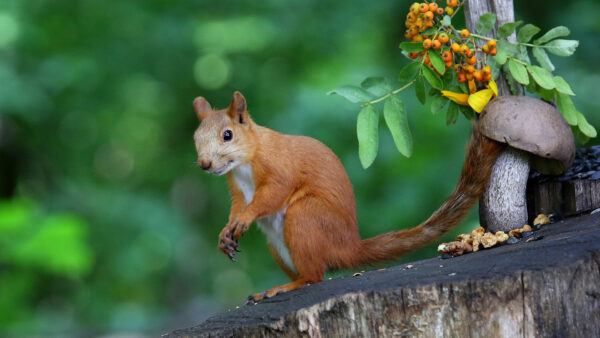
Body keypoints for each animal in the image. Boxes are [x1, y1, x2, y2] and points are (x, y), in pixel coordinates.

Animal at [192, 91, 502, 302]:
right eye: (196, 139)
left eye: (227, 135)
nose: (204, 164)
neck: (245, 161)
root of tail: (348, 246)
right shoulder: (236, 189)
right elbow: (236, 207)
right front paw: (225, 234)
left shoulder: (279, 168)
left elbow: (271, 195)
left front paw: (244, 220)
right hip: (277, 246)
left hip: (305, 216)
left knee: (315, 276)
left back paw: (282, 287)